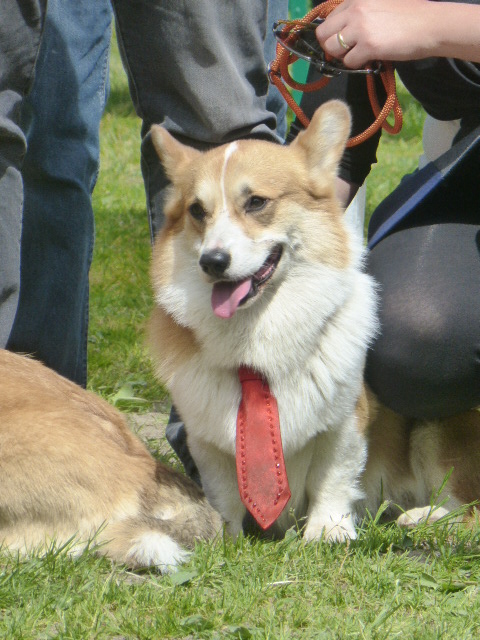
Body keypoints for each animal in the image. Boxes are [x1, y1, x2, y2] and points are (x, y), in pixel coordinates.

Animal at [149, 101, 480, 540]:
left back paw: (422, 518)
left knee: (470, 511)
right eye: (197, 211)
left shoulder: (346, 422)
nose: (212, 262)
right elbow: (224, 493)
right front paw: (223, 536)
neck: (257, 338)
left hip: (437, 433)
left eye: (256, 202)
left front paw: (327, 531)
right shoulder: (207, 440)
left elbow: (333, 477)